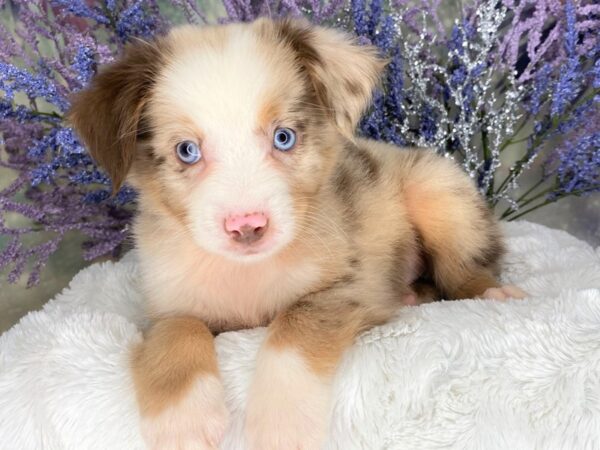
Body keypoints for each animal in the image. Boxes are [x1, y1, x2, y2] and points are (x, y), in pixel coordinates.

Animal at [67, 17, 524, 450]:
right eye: (187, 151)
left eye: (283, 137)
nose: (247, 226)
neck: (246, 274)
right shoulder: (167, 303)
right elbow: (176, 332)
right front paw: (183, 422)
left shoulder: (350, 286)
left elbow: (294, 327)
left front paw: (279, 425)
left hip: (437, 190)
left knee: (460, 271)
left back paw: (489, 291)